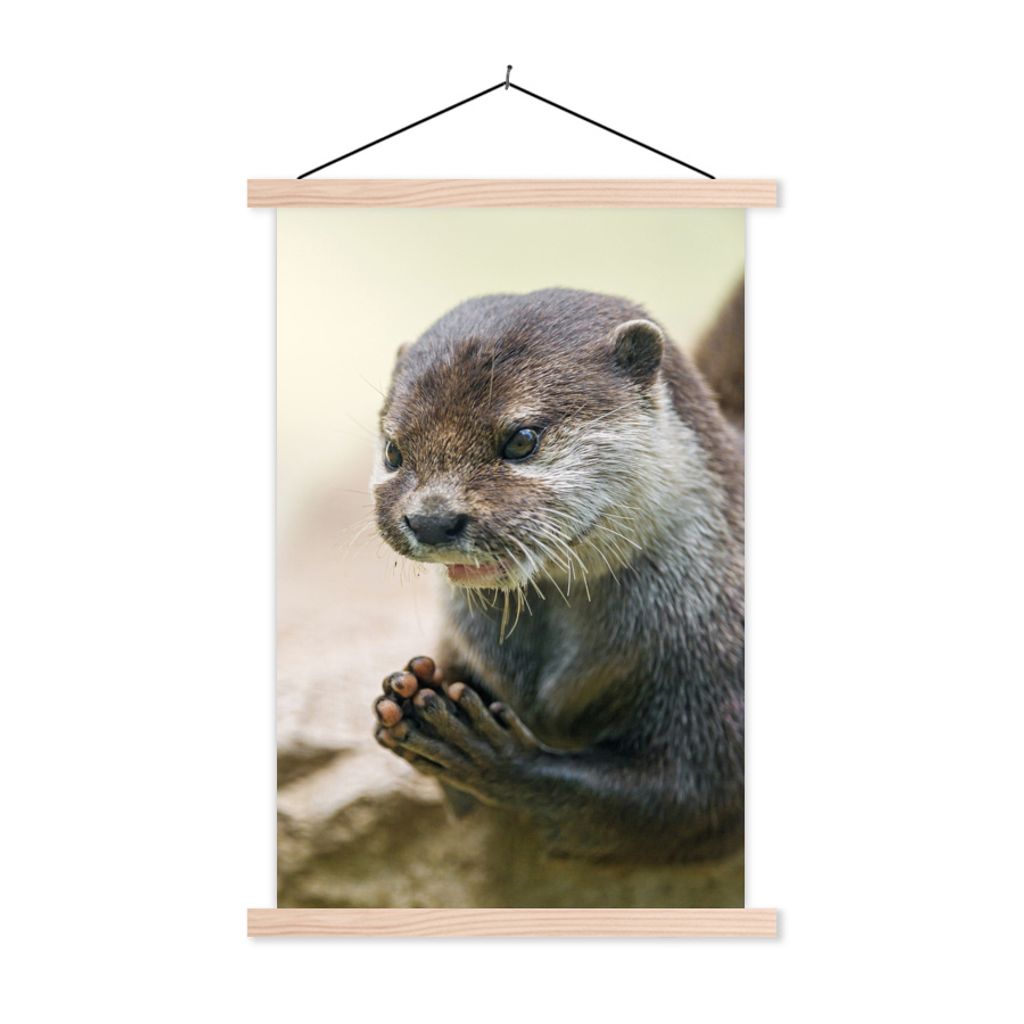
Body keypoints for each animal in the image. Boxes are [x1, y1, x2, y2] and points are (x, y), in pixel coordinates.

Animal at [371, 284, 744, 862]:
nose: (432, 519)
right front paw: (415, 689)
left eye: (522, 439)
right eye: (393, 450)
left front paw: (491, 757)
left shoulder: (718, 678)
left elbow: (691, 797)